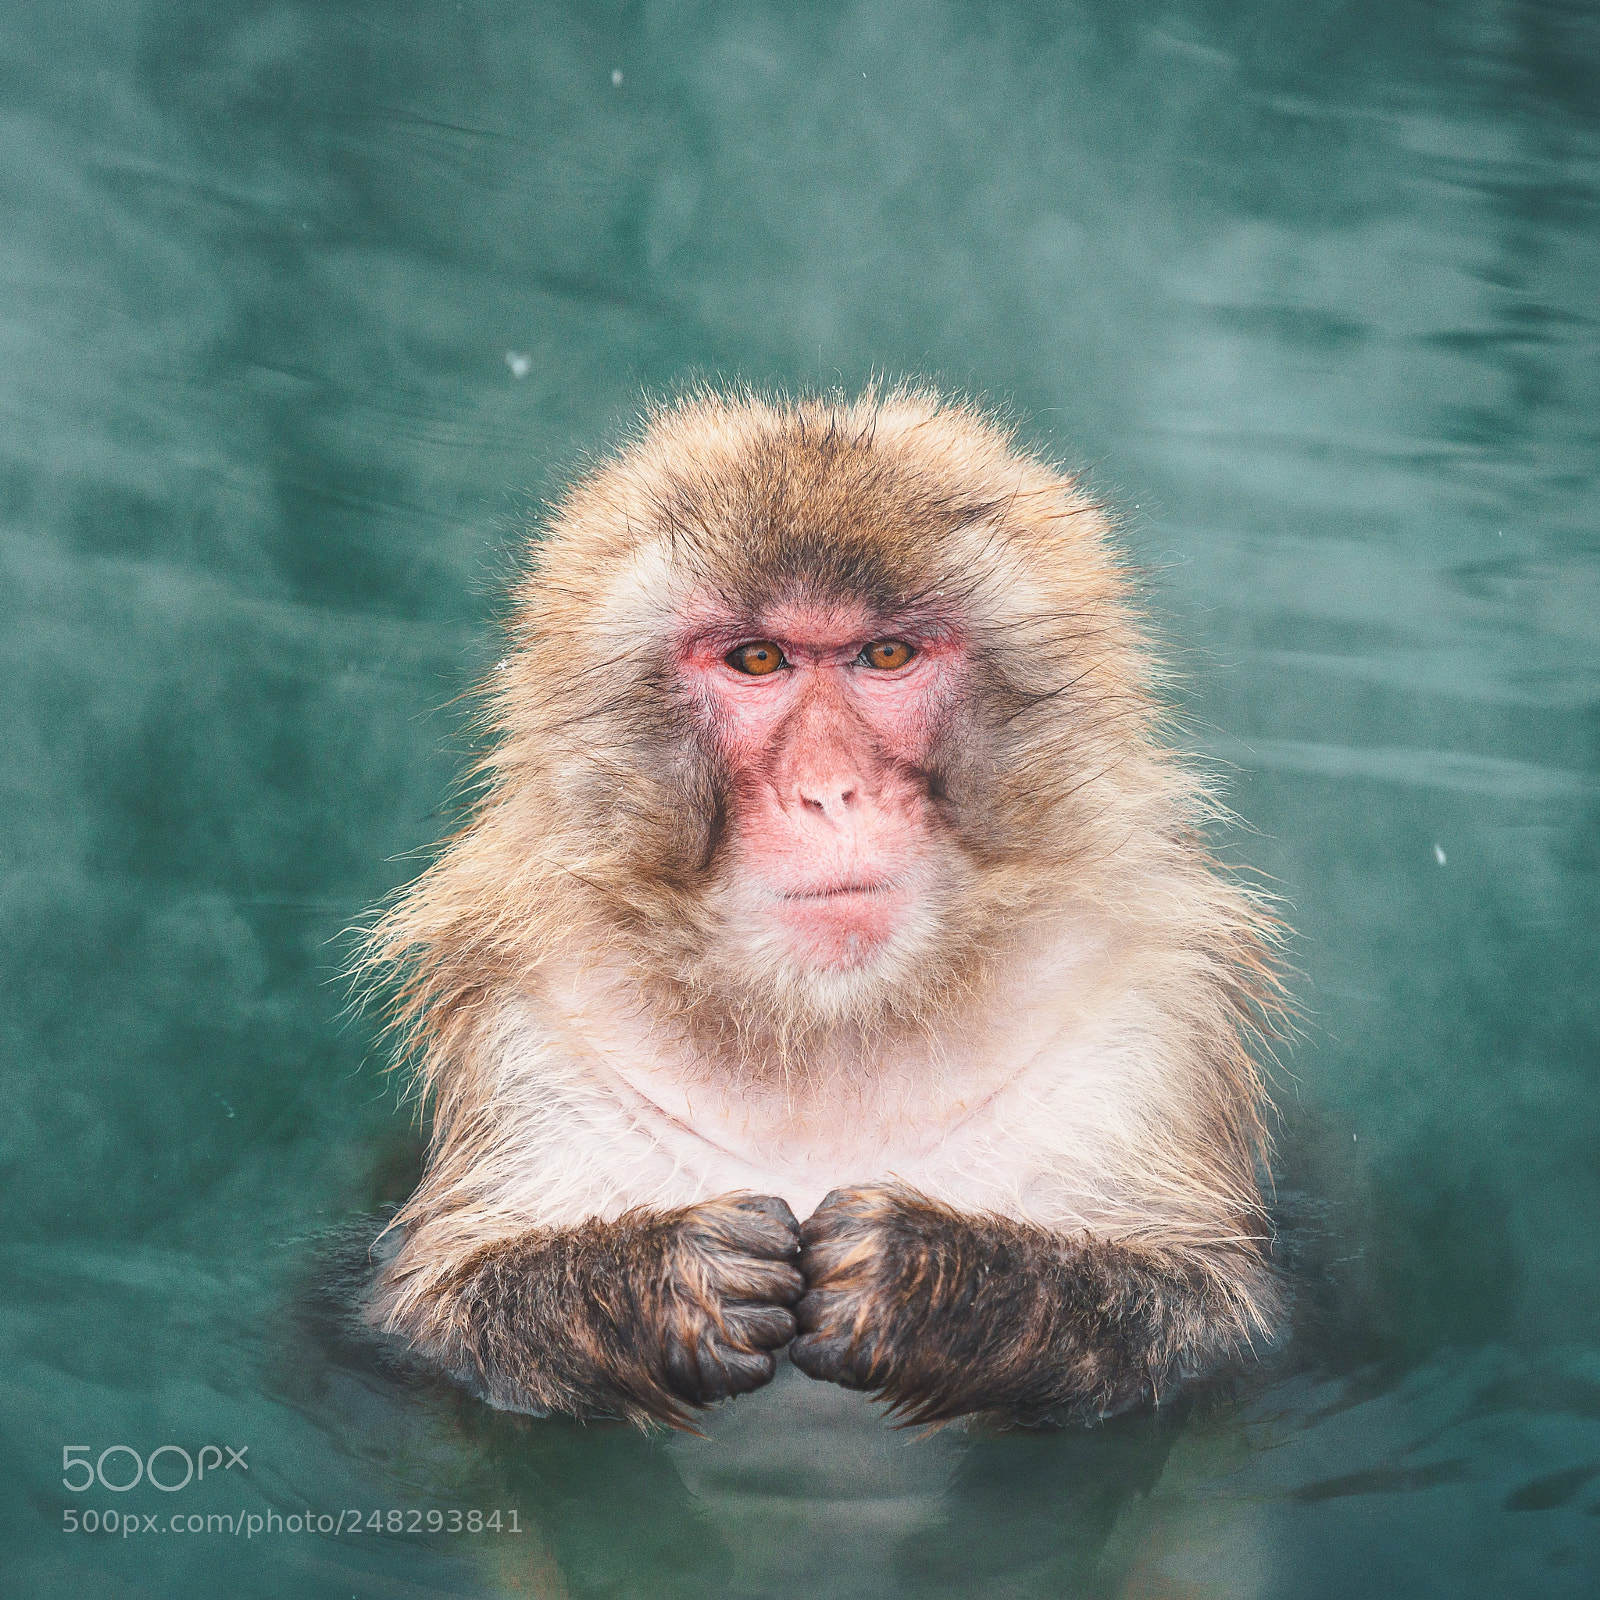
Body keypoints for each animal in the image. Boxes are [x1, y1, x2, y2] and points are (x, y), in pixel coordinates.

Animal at [357, 385, 1287, 1429]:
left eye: (885, 653)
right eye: (760, 660)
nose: (829, 791)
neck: (830, 1027)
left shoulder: (1145, 1010)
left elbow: (1204, 1316)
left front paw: (920, 1276)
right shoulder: (531, 1027)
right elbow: (439, 1315)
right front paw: (681, 1277)